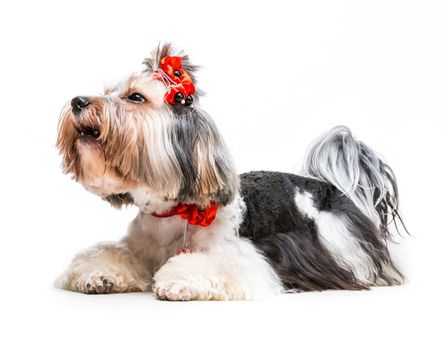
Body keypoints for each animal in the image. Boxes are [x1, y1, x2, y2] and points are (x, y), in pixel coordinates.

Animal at [57, 44, 408, 300]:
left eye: (135, 97)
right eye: (107, 90)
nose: (77, 101)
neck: (173, 215)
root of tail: (331, 186)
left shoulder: (246, 259)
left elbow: (208, 264)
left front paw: (177, 279)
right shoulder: (139, 248)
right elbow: (110, 254)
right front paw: (99, 274)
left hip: (337, 239)